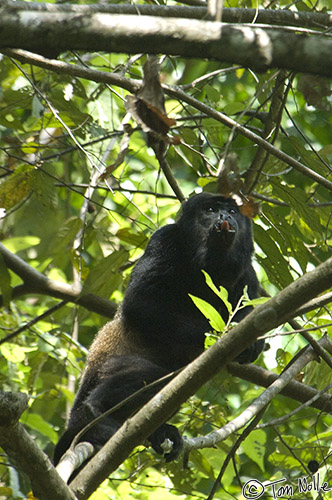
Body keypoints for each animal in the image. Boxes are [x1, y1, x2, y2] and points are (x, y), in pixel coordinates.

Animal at [53, 193, 264, 466]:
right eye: (210, 209)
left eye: (232, 211)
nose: (224, 216)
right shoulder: (164, 240)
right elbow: (139, 303)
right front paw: (220, 337)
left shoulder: (249, 273)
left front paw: (252, 344)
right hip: (104, 369)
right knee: (151, 374)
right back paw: (95, 413)